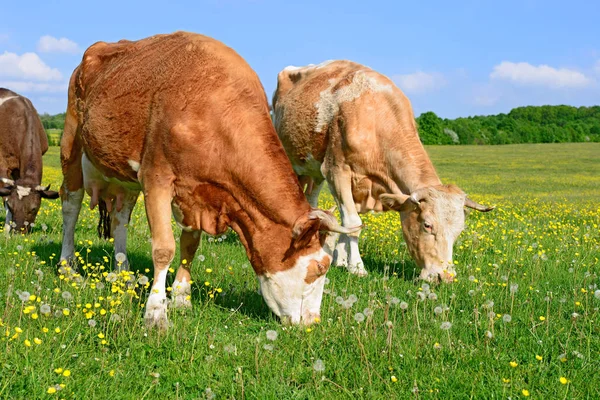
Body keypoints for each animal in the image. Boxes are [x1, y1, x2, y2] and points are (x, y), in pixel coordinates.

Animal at [59, 32, 356, 328]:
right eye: (319, 268)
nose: (313, 322)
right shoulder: (156, 178)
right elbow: (164, 248)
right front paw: (156, 313)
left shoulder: (198, 194)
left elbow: (189, 245)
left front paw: (181, 298)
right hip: (71, 145)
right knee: (70, 206)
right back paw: (68, 267)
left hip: (125, 177)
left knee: (120, 219)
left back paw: (124, 273)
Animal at [272, 61, 492, 282]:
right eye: (427, 225)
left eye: (459, 230)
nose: (444, 277)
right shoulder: (336, 170)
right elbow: (353, 222)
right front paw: (357, 267)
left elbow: (347, 222)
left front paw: (341, 261)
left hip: (314, 170)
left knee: (312, 198)